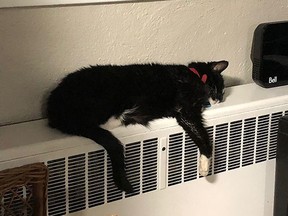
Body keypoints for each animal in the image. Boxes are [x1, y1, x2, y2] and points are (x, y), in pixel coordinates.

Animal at [46, 60, 228, 192]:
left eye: (222, 92)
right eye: (219, 88)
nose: (220, 98)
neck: (195, 76)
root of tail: (52, 106)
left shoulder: (185, 114)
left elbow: (198, 132)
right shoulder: (186, 109)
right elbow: (203, 136)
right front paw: (205, 166)